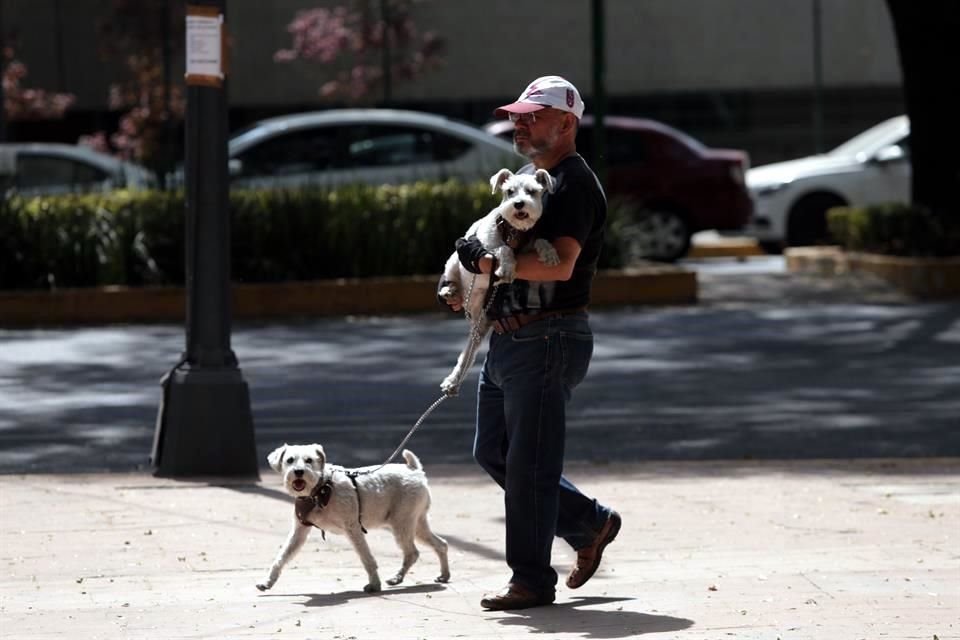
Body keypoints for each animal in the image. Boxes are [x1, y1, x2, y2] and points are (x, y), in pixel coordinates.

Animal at [255, 442, 450, 592]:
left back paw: (397, 577)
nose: (299, 472)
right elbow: (282, 556)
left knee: (412, 552)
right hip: (416, 524)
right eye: (289, 460)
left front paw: (374, 585)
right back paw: (443, 575)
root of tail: (415, 470)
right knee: (440, 544)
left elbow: (367, 558)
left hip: (402, 524)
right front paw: (267, 582)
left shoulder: (353, 528)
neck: (319, 490)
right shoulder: (299, 531)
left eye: (309, 460)